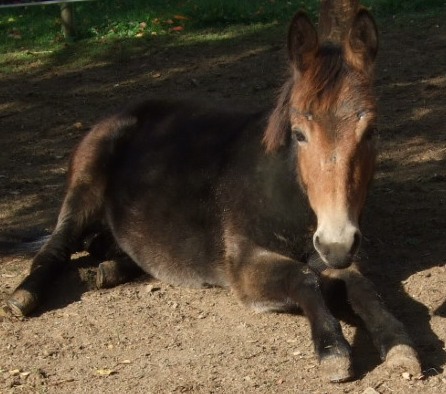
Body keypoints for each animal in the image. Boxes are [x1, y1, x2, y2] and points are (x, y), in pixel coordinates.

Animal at [7, 5, 422, 382]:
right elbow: (305, 278)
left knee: (111, 247)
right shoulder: (246, 264)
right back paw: (24, 296)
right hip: (83, 188)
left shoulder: (340, 254)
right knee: (56, 247)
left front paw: (399, 344)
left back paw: (108, 269)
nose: (336, 243)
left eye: (371, 132)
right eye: (299, 134)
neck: (285, 197)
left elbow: (362, 287)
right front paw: (333, 350)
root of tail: (122, 113)